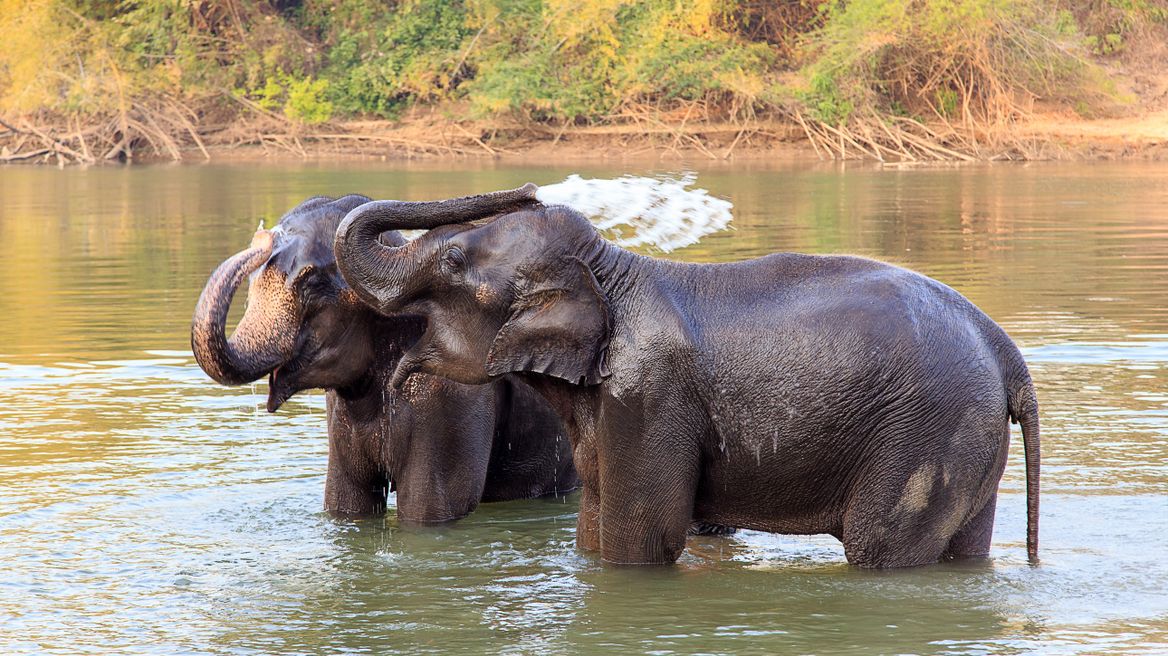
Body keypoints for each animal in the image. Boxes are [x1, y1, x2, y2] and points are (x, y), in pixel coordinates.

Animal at [331, 183, 1041, 568]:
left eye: (453, 261)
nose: (532, 189)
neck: (611, 269)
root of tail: (1007, 353)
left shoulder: (649, 392)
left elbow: (643, 534)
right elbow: (595, 526)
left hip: (926, 435)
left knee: (881, 548)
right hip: (969, 440)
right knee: (963, 549)